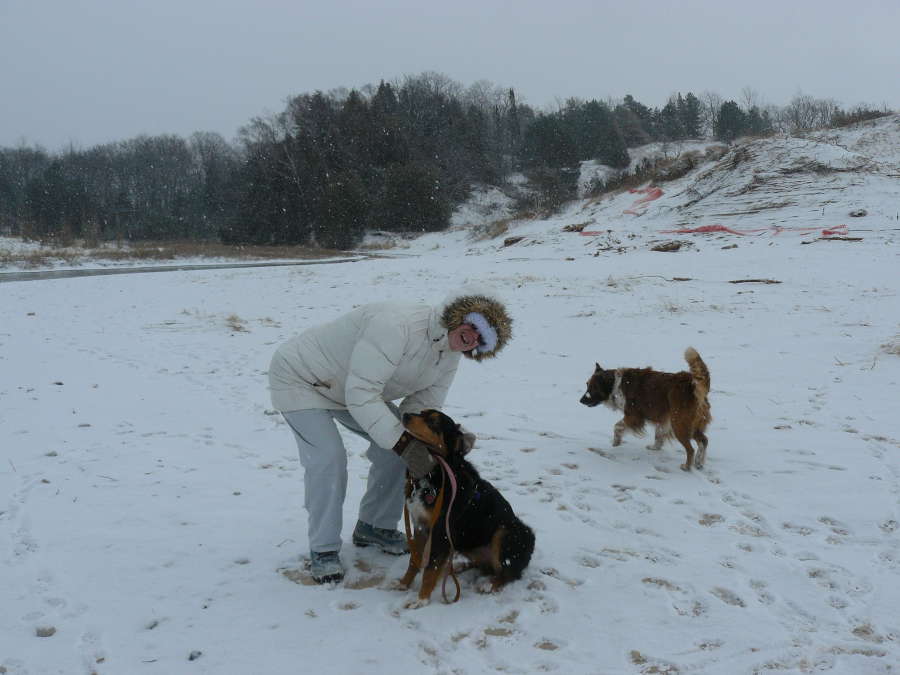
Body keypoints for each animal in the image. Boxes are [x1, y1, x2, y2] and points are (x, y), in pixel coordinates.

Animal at [396, 410, 536, 608]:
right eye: (422, 412)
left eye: (433, 422)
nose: (406, 414)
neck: (435, 475)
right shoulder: (421, 526)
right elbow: (414, 560)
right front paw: (403, 584)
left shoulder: (441, 531)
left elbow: (431, 568)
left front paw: (421, 600)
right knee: (485, 566)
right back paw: (458, 567)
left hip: (507, 531)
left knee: (509, 572)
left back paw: (489, 584)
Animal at [580, 348, 712, 470]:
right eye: (587, 385)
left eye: (592, 388)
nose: (580, 401)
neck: (615, 385)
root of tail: (691, 384)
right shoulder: (663, 419)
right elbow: (659, 435)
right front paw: (655, 448)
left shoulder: (633, 416)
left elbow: (617, 426)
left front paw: (616, 442)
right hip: (691, 425)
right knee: (704, 441)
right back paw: (699, 462)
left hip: (679, 424)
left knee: (691, 449)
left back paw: (687, 466)